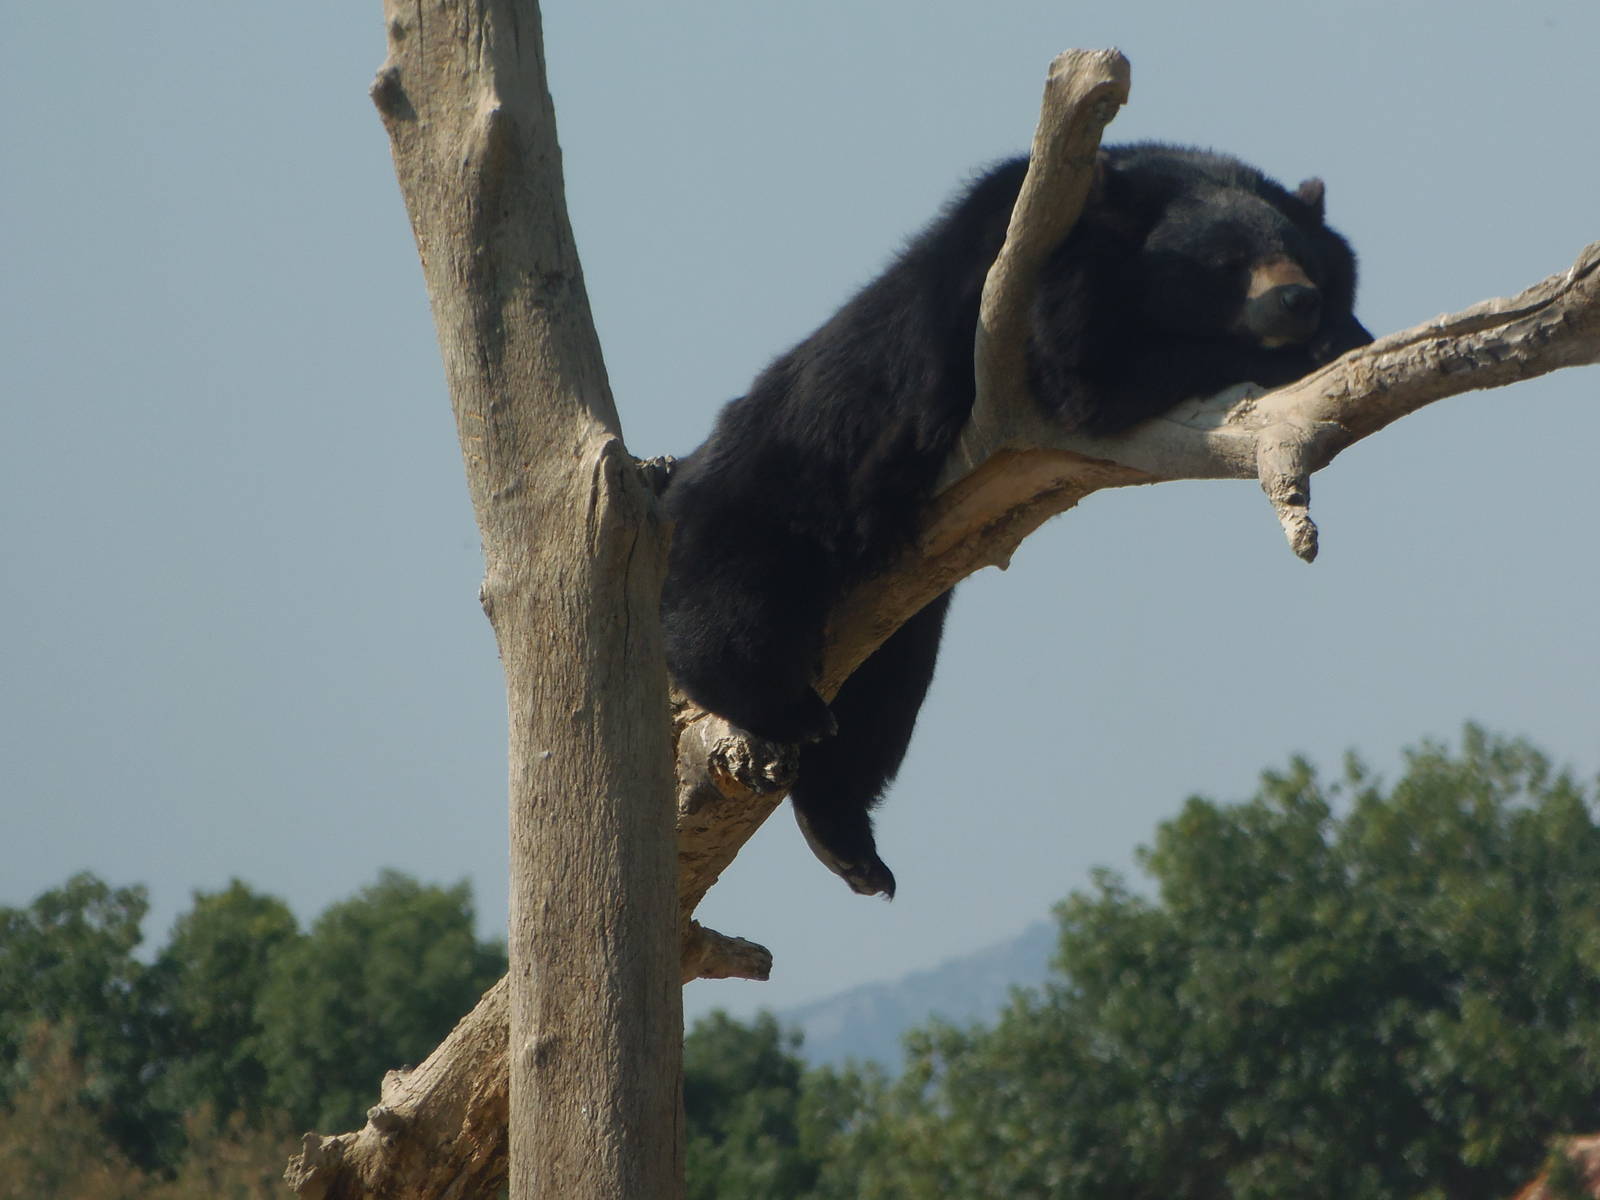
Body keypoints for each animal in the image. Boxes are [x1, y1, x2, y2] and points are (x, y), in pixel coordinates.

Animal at [661, 143, 1371, 898]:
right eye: (1229, 262)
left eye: (1303, 255)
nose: (1298, 300)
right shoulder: (1015, 298)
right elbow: (1088, 376)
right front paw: (1315, 345)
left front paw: (1343, 331)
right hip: (774, 497)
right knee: (726, 606)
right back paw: (781, 708)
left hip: (887, 615)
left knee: (880, 704)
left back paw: (849, 844)